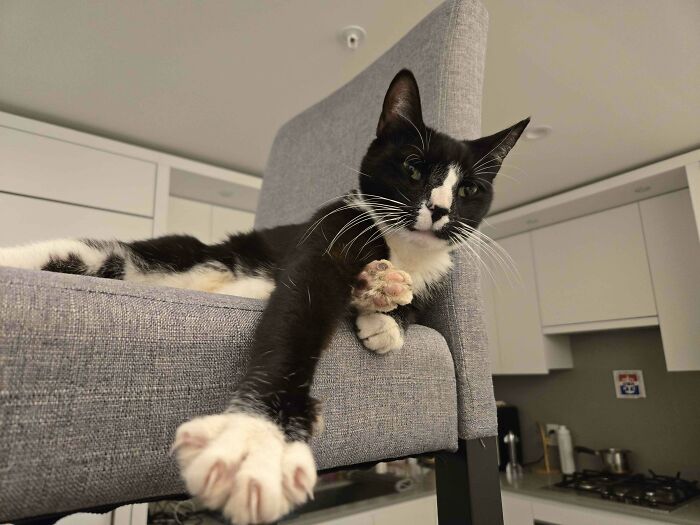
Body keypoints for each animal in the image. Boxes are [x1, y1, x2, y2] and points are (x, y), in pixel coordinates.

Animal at [0, 70, 524, 524]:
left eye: (469, 189)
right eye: (414, 168)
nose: (439, 209)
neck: (403, 248)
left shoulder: (436, 269)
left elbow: (415, 302)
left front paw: (385, 311)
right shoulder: (327, 234)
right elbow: (298, 317)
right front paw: (259, 438)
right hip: (172, 256)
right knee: (91, 252)